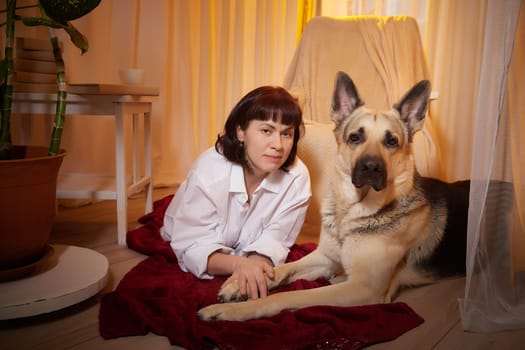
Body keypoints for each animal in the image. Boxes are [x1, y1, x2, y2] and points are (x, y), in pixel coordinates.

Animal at [199, 72, 468, 322]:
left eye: (392, 141)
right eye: (355, 137)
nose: (371, 167)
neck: (350, 214)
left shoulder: (364, 289)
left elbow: (291, 295)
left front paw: (236, 310)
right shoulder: (324, 257)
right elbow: (280, 268)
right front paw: (240, 283)